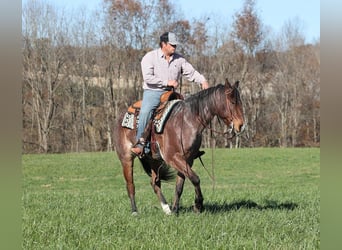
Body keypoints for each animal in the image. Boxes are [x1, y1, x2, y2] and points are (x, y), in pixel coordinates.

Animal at [113, 78, 244, 215]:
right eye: (233, 102)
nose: (241, 125)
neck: (186, 121)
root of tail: (119, 117)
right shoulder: (173, 158)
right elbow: (195, 178)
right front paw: (198, 205)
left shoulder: (187, 160)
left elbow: (180, 185)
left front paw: (175, 209)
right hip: (126, 158)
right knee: (130, 185)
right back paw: (135, 211)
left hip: (154, 160)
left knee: (155, 183)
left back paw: (167, 209)